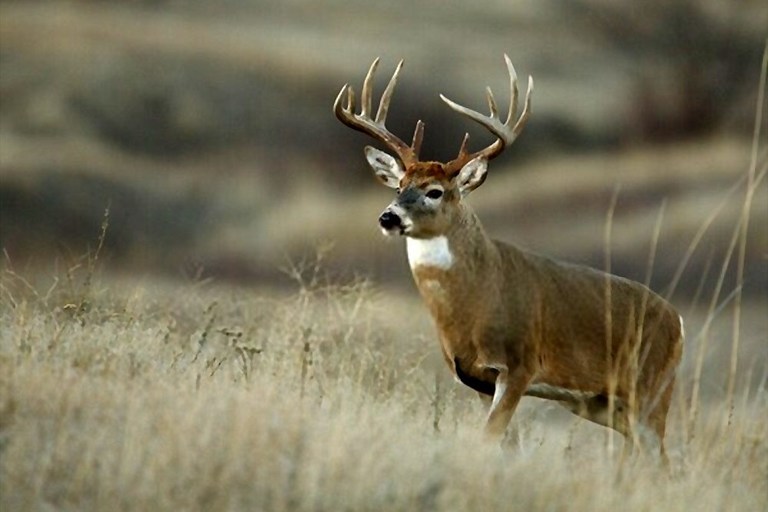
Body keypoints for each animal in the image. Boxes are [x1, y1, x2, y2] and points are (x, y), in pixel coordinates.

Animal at [333, 55, 684, 456]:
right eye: (400, 186)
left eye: (435, 191)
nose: (388, 217)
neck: (477, 302)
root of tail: (678, 322)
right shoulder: (477, 379)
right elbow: (503, 443)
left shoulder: (520, 365)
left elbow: (489, 438)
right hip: (603, 402)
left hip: (651, 387)